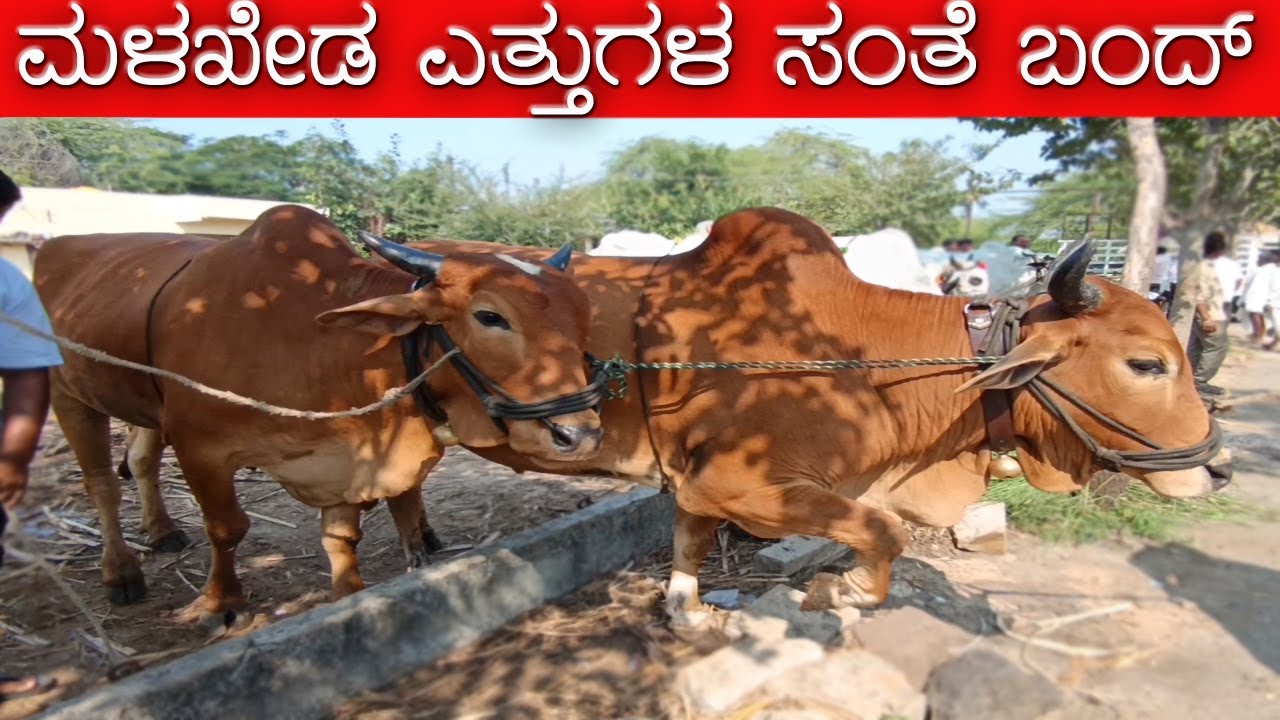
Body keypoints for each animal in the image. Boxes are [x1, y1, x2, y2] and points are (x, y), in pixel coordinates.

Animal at [33, 205, 603, 616]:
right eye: (490, 316)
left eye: (582, 315)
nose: (578, 435)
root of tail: (56, 246)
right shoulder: (199, 447)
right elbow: (227, 528)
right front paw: (220, 603)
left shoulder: (347, 458)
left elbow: (341, 537)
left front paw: (348, 597)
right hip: (68, 396)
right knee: (102, 485)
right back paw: (121, 571)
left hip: (143, 406)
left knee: (143, 459)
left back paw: (162, 531)